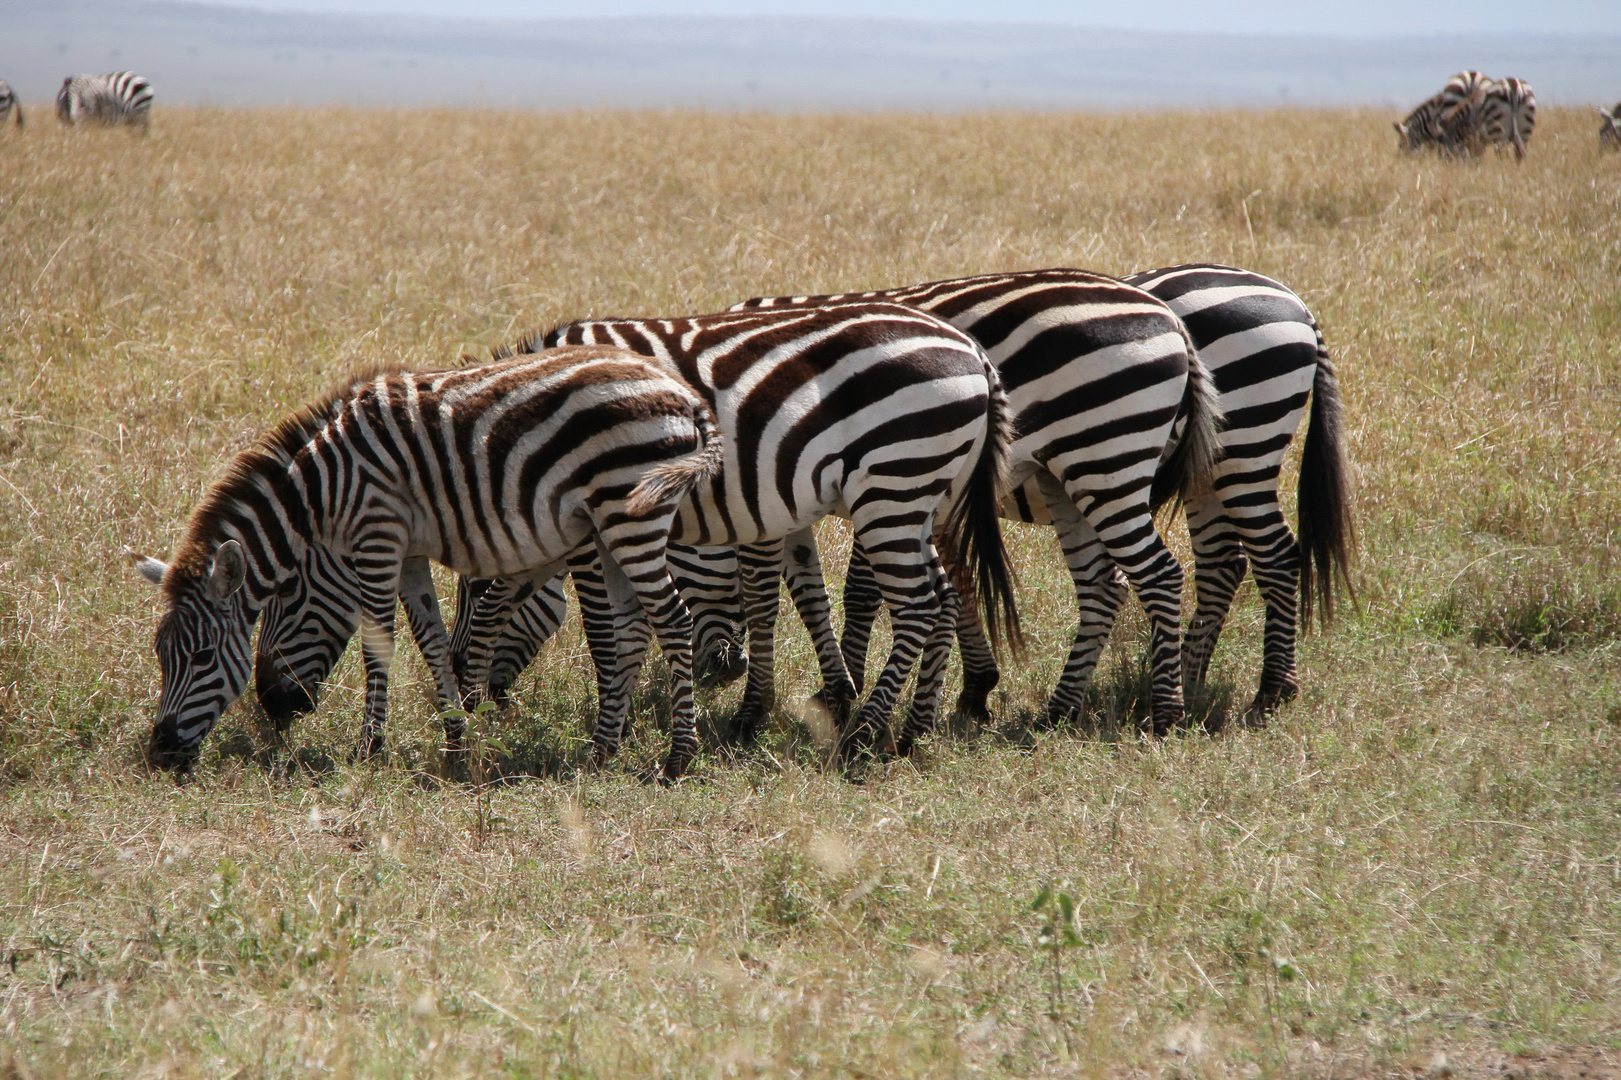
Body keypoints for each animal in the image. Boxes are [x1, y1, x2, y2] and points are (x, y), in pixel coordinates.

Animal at [128, 345, 729, 775]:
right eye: (161, 656)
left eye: (202, 657)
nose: (160, 753)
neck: (319, 489)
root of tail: (684, 394)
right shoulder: (410, 552)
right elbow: (432, 643)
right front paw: (456, 743)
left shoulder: (377, 535)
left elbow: (378, 646)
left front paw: (370, 751)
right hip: (610, 526)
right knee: (632, 629)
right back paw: (602, 751)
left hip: (631, 512)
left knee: (674, 620)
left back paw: (678, 759)